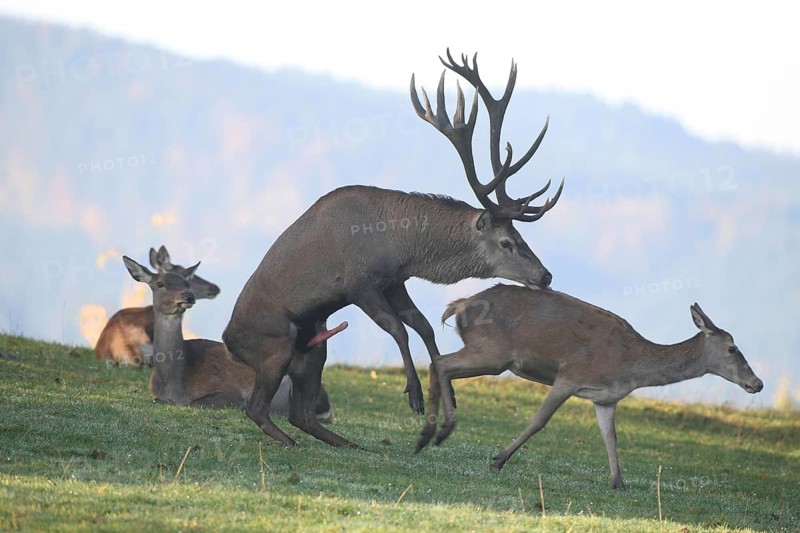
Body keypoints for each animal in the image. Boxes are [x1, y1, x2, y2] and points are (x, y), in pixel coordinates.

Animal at [122, 255, 336, 420]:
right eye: (160, 283)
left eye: (187, 283)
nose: (188, 296)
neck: (173, 382)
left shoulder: (228, 392)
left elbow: (194, 403)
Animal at [222, 49, 564, 448]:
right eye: (507, 241)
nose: (545, 275)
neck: (402, 248)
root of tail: (229, 343)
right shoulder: (358, 284)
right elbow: (399, 329)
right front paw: (415, 396)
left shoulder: (395, 282)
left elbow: (425, 326)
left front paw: (448, 393)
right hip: (276, 344)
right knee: (257, 407)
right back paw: (292, 442)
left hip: (315, 348)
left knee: (300, 413)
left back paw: (349, 444)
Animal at [417, 284, 764, 489]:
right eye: (732, 348)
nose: (757, 383)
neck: (628, 366)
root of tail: (459, 305)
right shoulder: (570, 376)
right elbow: (539, 421)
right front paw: (499, 460)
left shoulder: (606, 399)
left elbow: (611, 438)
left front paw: (618, 483)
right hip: (493, 352)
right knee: (441, 362)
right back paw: (438, 432)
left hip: (490, 356)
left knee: (439, 364)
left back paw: (429, 432)